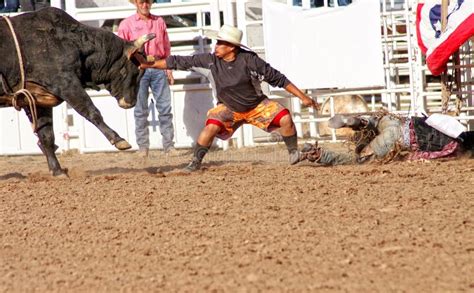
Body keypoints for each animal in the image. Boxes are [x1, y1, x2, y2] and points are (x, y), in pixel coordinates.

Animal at [0, 7, 152, 176]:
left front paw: (58, 171)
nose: (130, 102)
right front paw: (120, 140)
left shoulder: (37, 97)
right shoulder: (66, 83)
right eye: (134, 71)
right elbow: (91, 111)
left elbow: (46, 134)